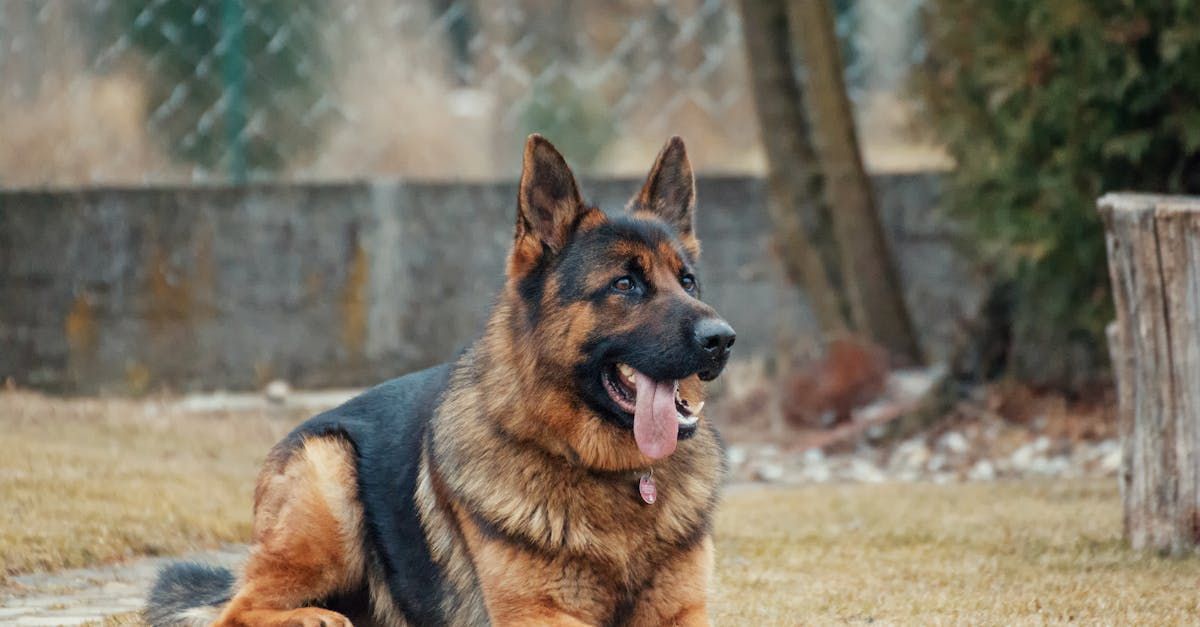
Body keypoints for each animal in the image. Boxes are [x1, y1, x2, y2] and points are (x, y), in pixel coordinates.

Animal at [145, 136, 734, 624]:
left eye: (687, 282)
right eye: (625, 284)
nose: (723, 338)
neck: (616, 475)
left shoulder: (683, 612)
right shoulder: (539, 615)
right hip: (329, 474)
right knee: (237, 609)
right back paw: (313, 618)